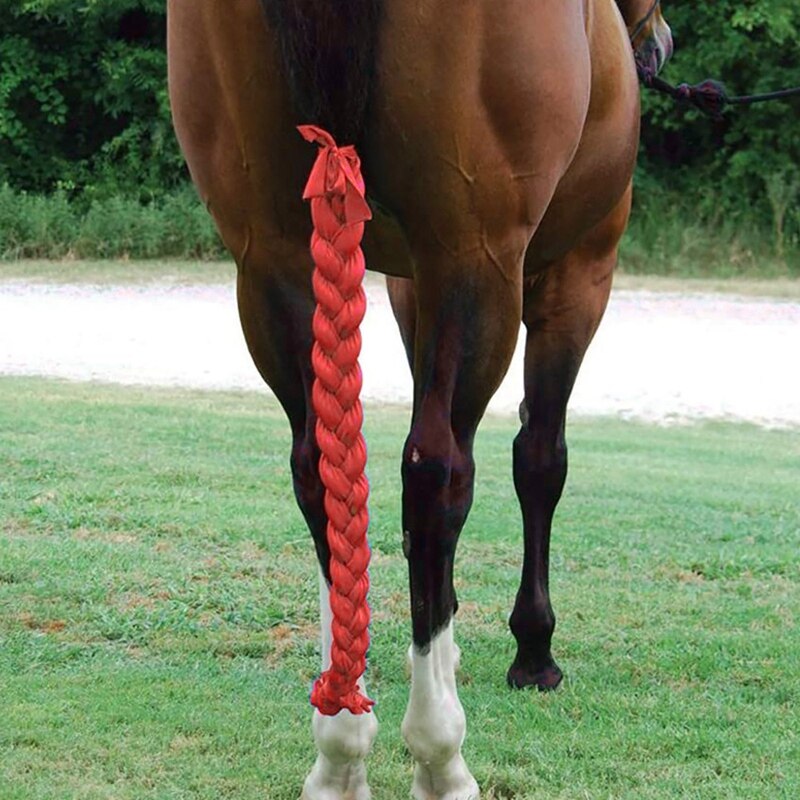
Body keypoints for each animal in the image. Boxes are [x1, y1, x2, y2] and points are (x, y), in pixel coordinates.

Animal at [167, 1, 673, 797]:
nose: (656, 45)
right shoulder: (578, 272)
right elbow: (540, 459)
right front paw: (533, 649)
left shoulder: (404, 284)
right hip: (476, 256)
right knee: (438, 474)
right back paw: (439, 751)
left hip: (271, 258)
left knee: (322, 472)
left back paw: (340, 747)